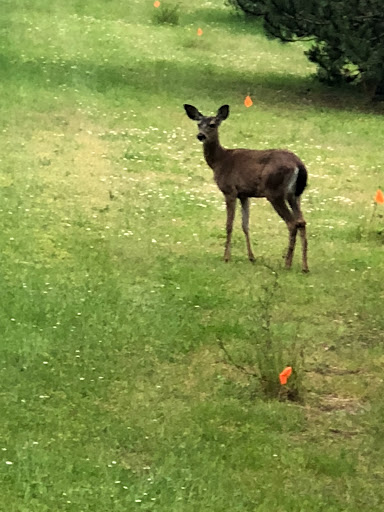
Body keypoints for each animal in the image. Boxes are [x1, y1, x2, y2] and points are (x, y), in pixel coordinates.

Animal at [184, 103, 308, 272]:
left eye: (213, 124)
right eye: (198, 124)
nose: (200, 136)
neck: (219, 161)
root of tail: (298, 164)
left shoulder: (229, 190)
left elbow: (229, 225)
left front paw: (226, 257)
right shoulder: (244, 194)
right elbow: (245, 225)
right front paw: (251, 257)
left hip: (275, 192)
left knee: (292, 223)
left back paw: (287, 264)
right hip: (294, 194)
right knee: (302, 221)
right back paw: (305, 267)